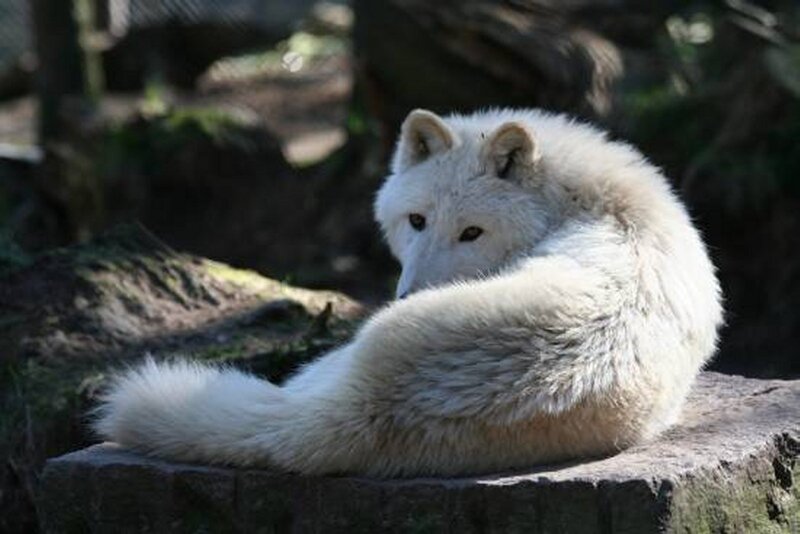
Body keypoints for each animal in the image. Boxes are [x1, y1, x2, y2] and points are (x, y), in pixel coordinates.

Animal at [94, 108, 723, 477]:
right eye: (416, 221)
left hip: (330, 363)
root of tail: (364, 407)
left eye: (471, 232)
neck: (583, 200)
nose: (406, 294)